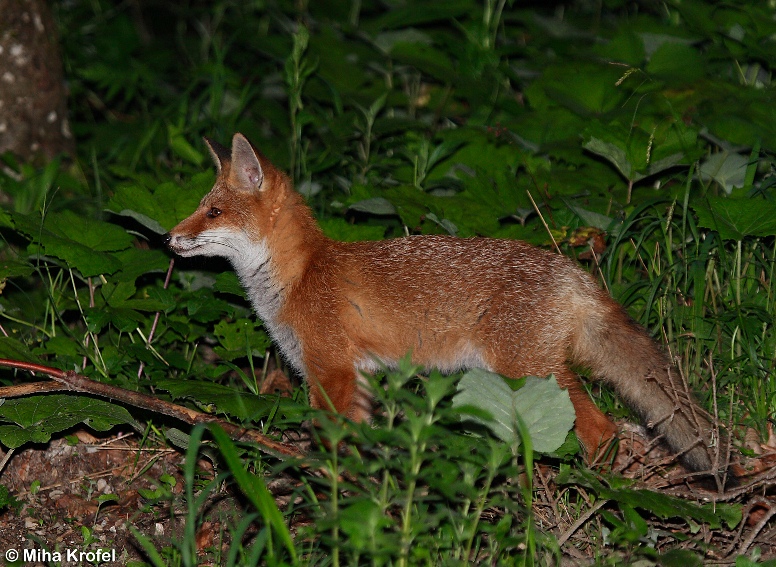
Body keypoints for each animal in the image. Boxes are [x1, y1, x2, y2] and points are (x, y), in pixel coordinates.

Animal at [168, 133, 716, 474]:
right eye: (199, 206)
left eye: (212, 211)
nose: (169, 237)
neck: (299, 277)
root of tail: (574, 272)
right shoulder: (355, 376)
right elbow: (362, 437)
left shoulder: (331, 371)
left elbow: (333, 440)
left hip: (532, 371)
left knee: (602, 429)